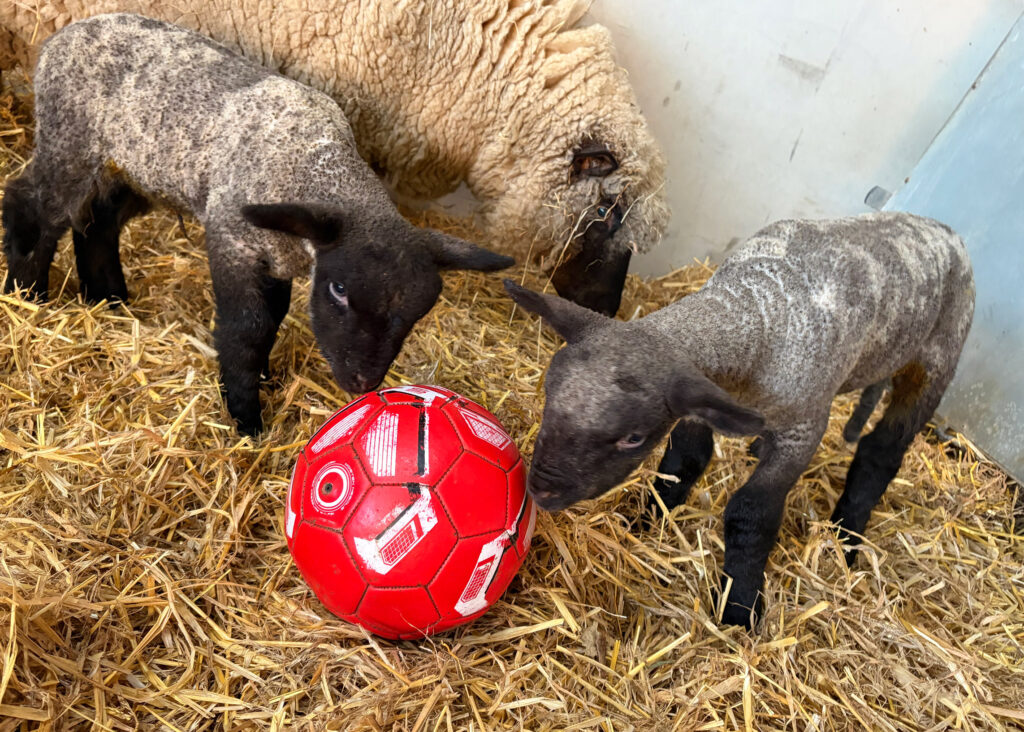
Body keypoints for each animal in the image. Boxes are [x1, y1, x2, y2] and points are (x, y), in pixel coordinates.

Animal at [1, 13, 514, 436]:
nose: (362, 382)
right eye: (339, 290)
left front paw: (262, 379)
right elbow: (247, 327)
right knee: (33, 205)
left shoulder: (277, 258)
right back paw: (27, 293)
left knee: (97, 221)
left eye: (416, 314)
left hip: (139, 166)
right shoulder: (233, 239)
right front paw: (246, 417)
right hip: (71, 141)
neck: (313, 163)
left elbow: (272, 320)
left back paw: (107, 299)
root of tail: (62, 36)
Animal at [504, 212, 975, 628]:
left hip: (938, 357)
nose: (541, 490)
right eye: (548, 395)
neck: (756, 306)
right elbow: (682, 463)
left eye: (632, 437)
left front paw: (740, 607)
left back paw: (846, 539)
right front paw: (645, 520)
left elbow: (752, 511)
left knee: (882, 452)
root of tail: (944, 229)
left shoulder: (804, 427)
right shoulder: (703, 400)